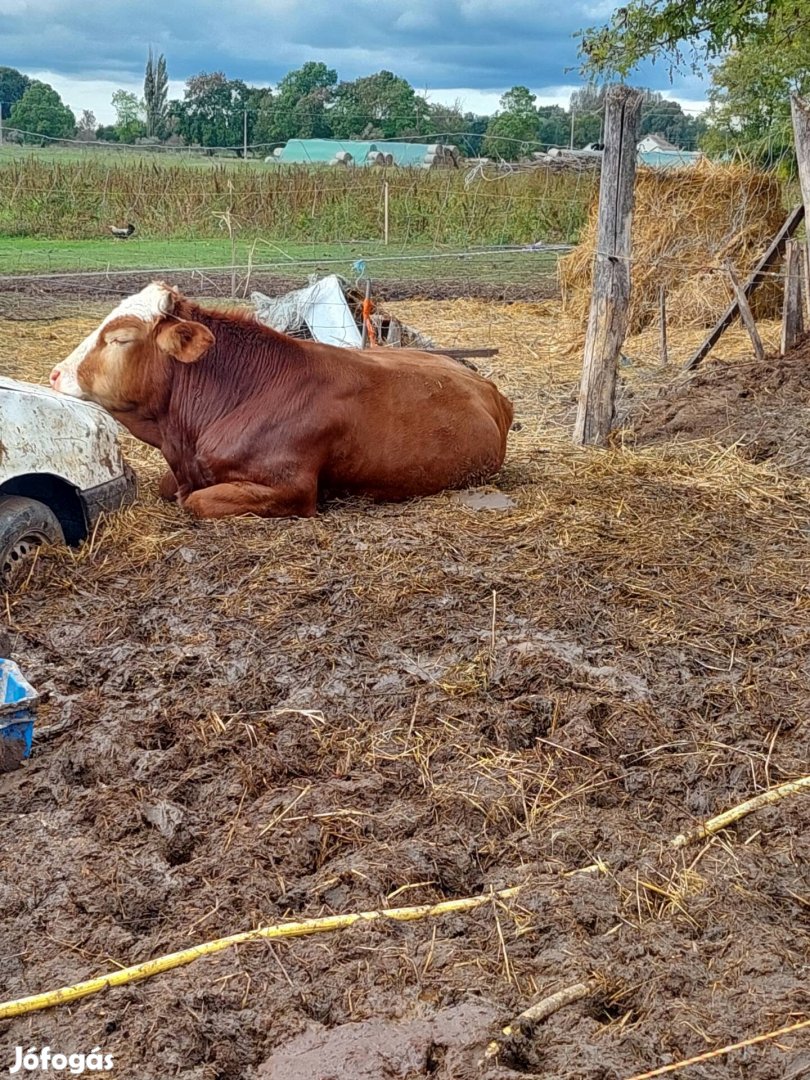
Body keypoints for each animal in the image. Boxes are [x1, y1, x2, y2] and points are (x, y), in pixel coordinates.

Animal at [50, 282, 516, 518]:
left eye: (120, 337)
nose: (55, 374)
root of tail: (489, 388)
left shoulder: (292, 489)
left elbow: (195, 503)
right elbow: (171, 487)